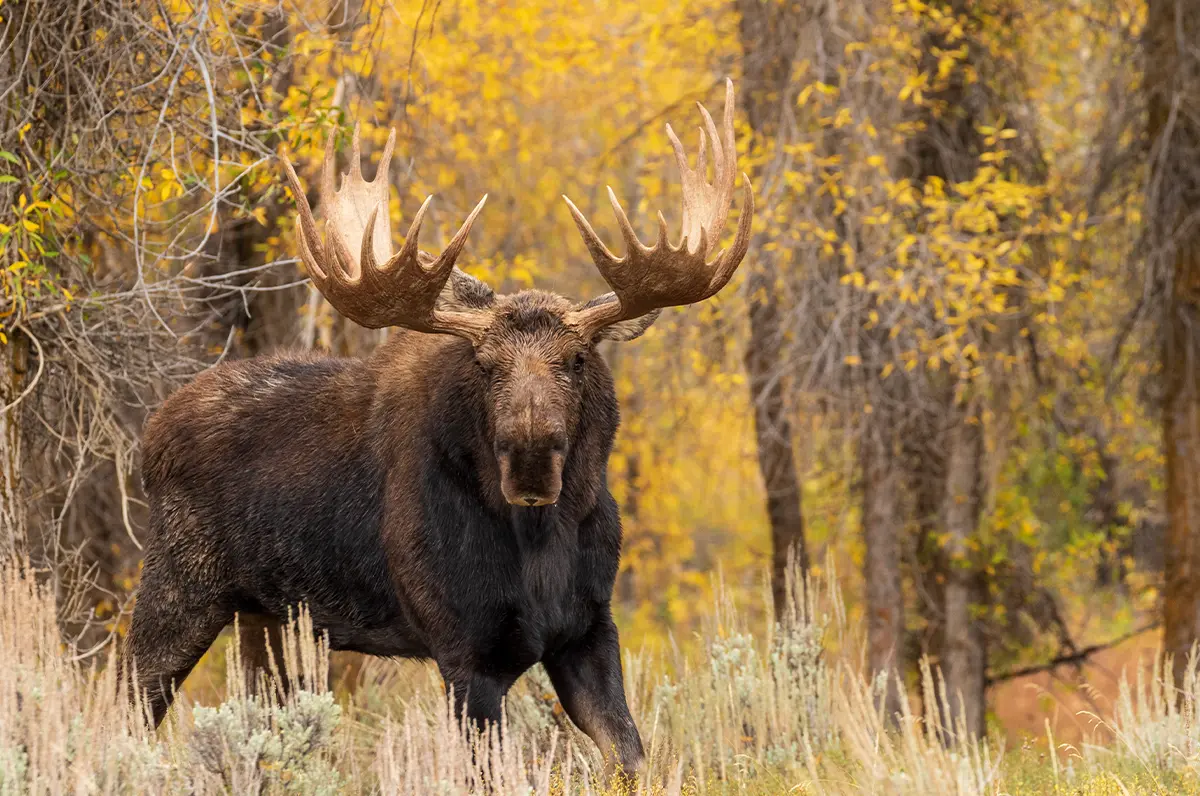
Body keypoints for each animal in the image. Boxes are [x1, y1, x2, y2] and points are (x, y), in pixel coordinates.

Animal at [124, 80, 752, 779]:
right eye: (483, 363)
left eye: (577, 358)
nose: (530, 456)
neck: (540, 544)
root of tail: (152, 435)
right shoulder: (465, 650)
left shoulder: (590, 627)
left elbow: (629, 754)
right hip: (179, 585)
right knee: (129, 706)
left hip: (269, 620)